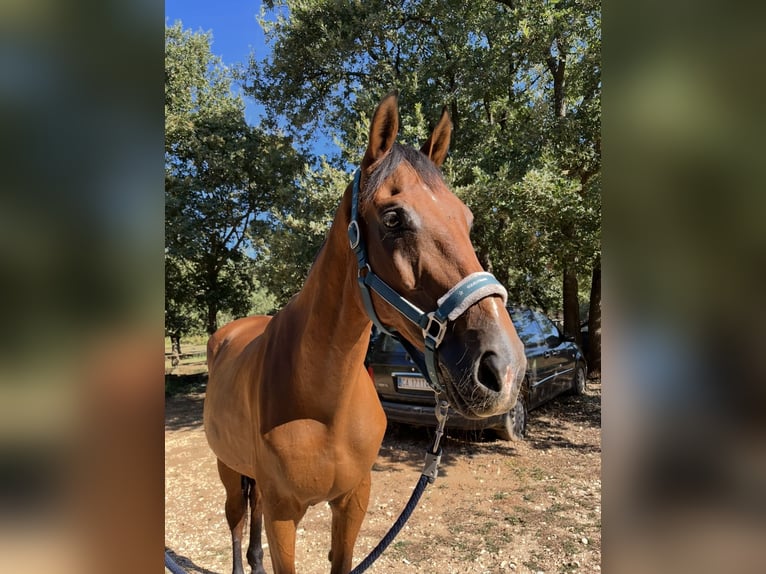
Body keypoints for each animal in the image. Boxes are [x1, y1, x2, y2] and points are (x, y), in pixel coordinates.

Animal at [202, 92, 528, 572]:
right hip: (227, 468)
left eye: (466, 219)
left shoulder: (354, 499)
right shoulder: (284, 516)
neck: (323, 403)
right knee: (238, 521)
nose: (505, 367)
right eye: (393, 219)